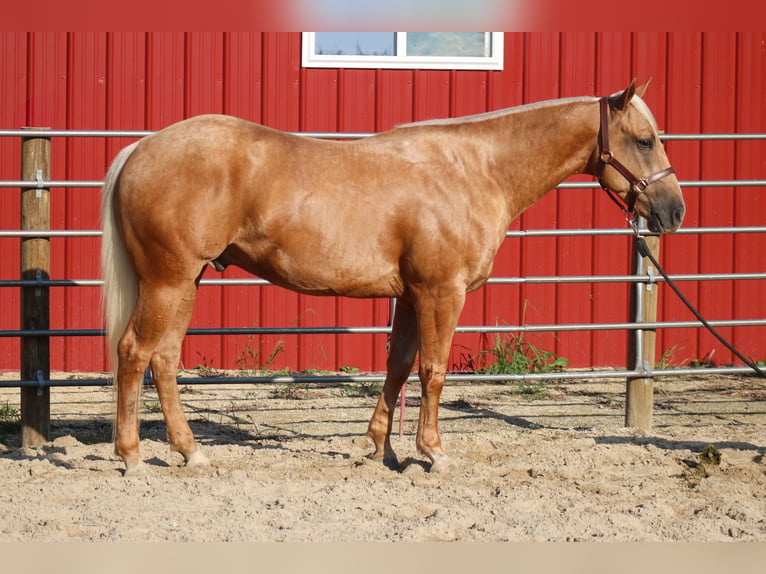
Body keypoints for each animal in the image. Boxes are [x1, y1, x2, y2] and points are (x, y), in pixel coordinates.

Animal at [101, 79, 684, 476]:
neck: (473, 170)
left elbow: (400, 368)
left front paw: (379, 448)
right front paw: (434, 454)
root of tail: (141, 148)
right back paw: (132, 457)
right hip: (168, 280)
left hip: (189, 280)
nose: (673, 212)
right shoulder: (441, 293)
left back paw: (191, 452)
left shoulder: (410, 295)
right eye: (645, 140)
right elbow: (434, 372)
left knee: (164, 359)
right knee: (135, 352)